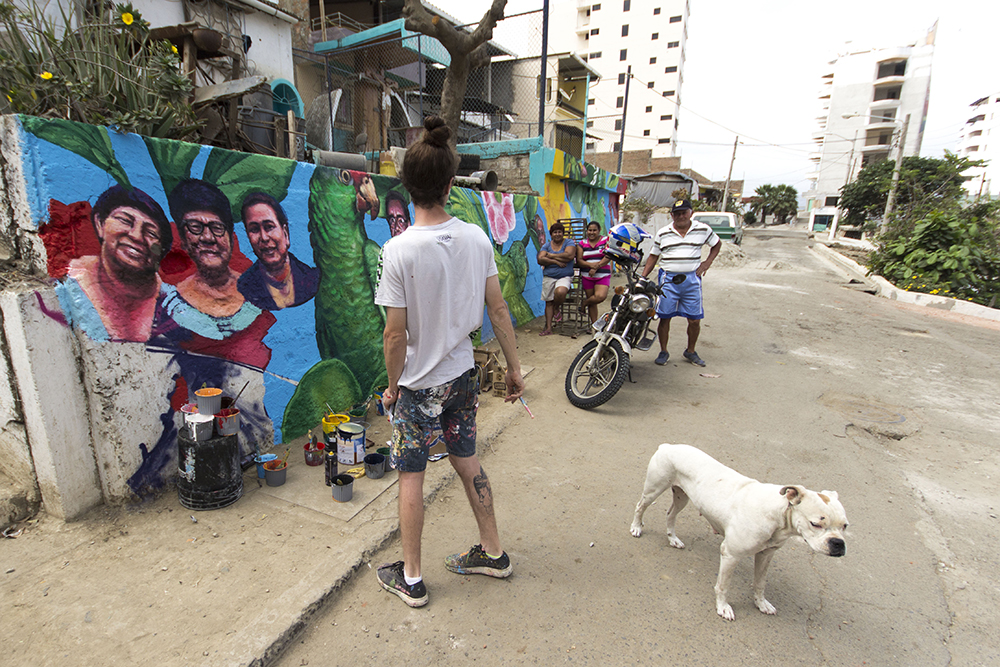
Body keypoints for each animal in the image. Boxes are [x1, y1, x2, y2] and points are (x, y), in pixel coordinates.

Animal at [628, 444, 848, 620]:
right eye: (816, 524)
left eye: (845, 526)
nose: (838, 544)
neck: (775, 514)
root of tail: (668, 445)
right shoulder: (731, 554)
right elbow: (723, 585)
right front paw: (723, 607)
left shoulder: (766, 555)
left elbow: (760, 582)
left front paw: (761, 603)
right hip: (654, 488)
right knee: (640, 506)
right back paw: (637, 527)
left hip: (682, 496)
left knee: (670, 514)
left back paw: (673, 538)